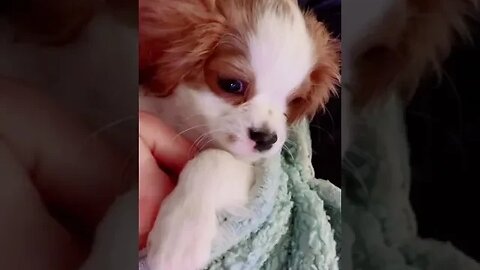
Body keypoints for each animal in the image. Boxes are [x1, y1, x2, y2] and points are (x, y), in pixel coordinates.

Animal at [139, 1, 342, 268]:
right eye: (232, 84)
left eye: (293, 101)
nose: (266, 139)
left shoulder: (253, 169)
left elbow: (215, 159)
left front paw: (181, 236)